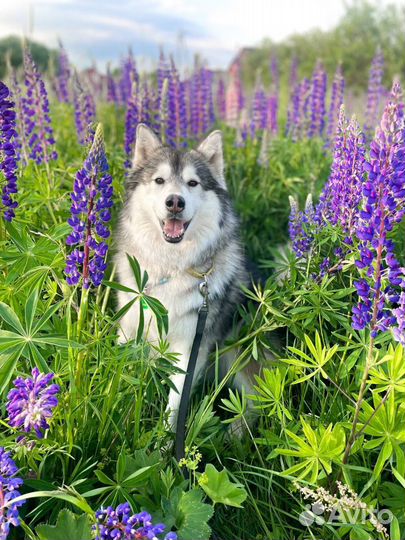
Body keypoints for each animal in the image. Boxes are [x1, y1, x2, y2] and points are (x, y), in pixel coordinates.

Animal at [115, 123, 251, 430]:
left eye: (193, 183)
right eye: (159, 180)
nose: (175, 202)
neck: (171, 265)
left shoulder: (190, 347)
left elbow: (175, 403)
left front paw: (164, 442)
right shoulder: (129, 327)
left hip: (240, 356)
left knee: (254, 404)